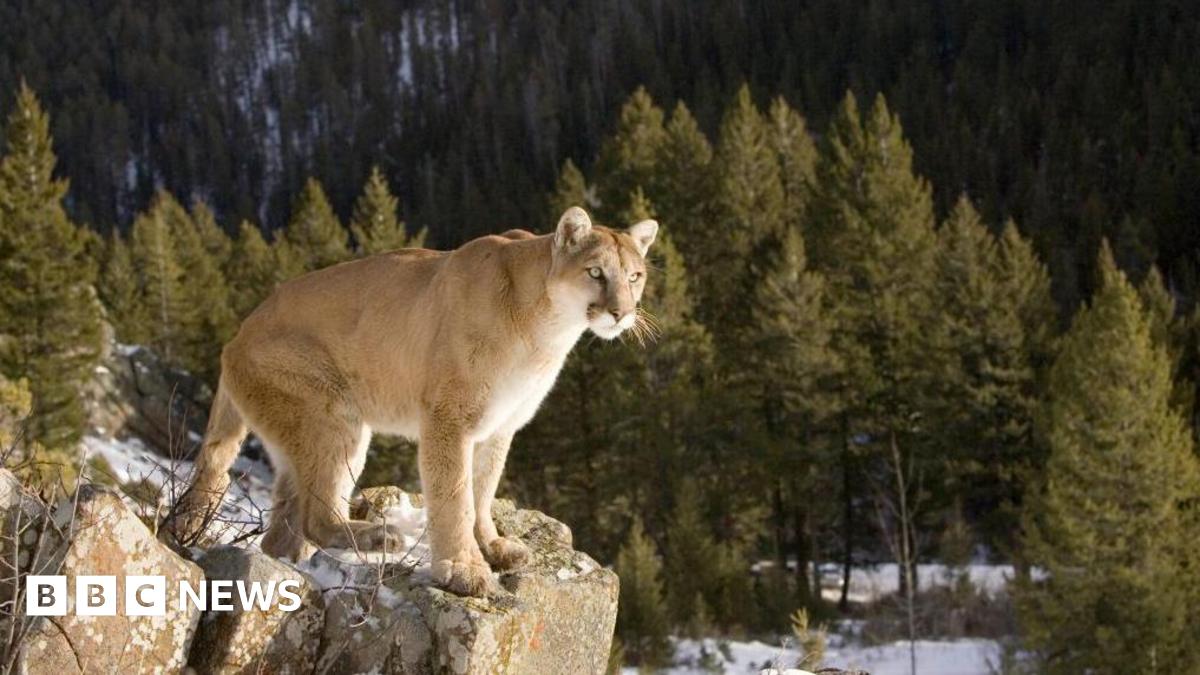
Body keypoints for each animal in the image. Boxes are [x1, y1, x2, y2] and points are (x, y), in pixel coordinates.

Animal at [170, 207, 657, 596]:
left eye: (635, 276)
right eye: (596, 272)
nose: (622, 312)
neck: (546, 328)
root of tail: (237, 334)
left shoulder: (499, 426)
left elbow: (483, 489)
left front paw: (491, 546)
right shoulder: (449, 419)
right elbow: (455, 494)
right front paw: (461, 569)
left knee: (284, 529)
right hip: (333, 413)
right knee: (315, 516)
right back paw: (375, 538)